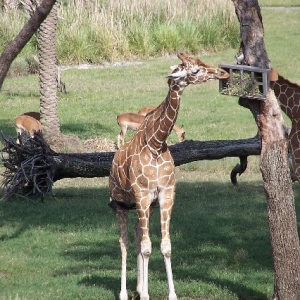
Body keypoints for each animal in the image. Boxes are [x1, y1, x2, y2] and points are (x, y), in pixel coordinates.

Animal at [109, 52, 229, 298]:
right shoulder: (142, 194)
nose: (223, 73)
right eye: (194, 70)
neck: (156, 144)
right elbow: (147, 248)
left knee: (137, 236)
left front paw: (167, 294)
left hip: (144, 206)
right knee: (124, 241)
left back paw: (138, 287)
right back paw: (124, 293)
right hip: (120, 204)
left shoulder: (165, 194)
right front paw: (145, 295)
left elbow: (164, 246)